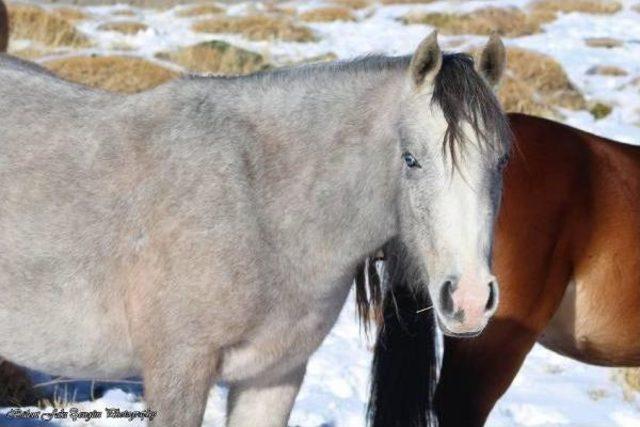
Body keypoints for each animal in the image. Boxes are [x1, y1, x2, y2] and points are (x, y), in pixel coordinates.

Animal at [0, 34, 510, 427]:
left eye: (502, 160)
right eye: (411, 159)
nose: (467, 299)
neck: (258, 205)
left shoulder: (274, 376)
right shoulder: (178, 369)